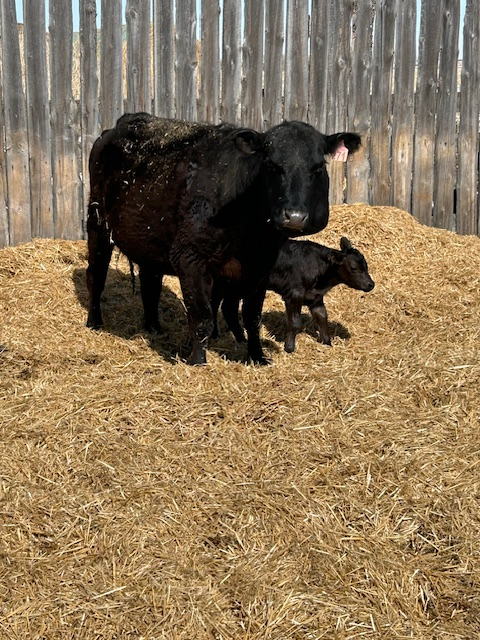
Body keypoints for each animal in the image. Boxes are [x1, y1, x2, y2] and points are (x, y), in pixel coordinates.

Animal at [211, 237, 375, 353]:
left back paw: (239, 338)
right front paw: (289, 348)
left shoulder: (315, 297)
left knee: (228, 308)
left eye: (366, 265)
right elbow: (295, 323)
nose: (371, 284)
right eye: (353, 268)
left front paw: (326, 342)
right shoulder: (293, 295)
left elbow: (322, 316)